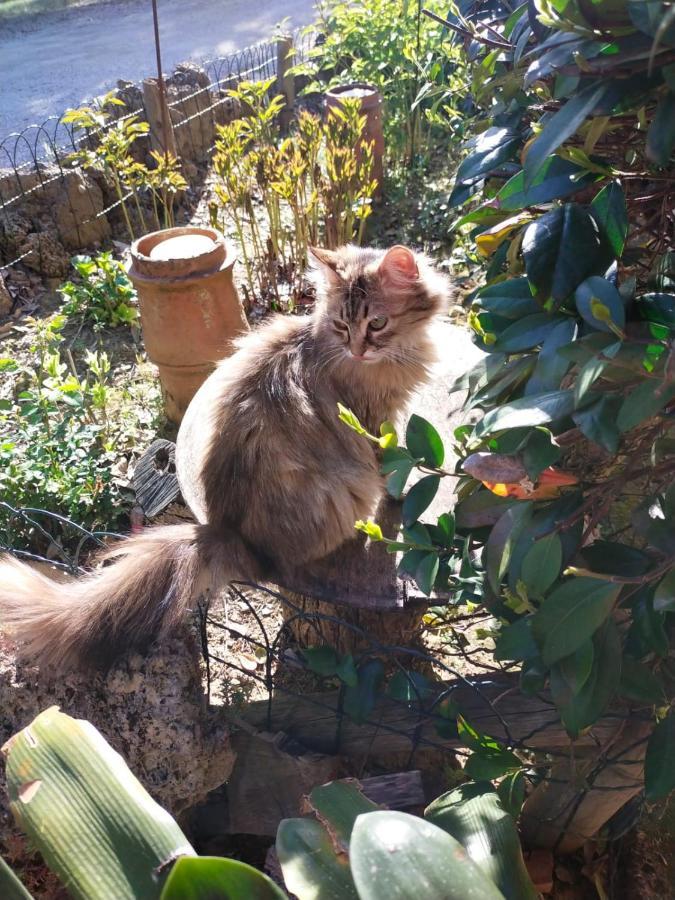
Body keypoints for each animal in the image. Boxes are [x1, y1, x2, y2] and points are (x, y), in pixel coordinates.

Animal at [0, 243, 448, 664]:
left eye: (377, 323)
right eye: (342, 325)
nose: (357, 350)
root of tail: (228, 533)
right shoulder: (374, 423)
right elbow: (392, 468)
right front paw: (403, 493)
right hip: (344, 492)